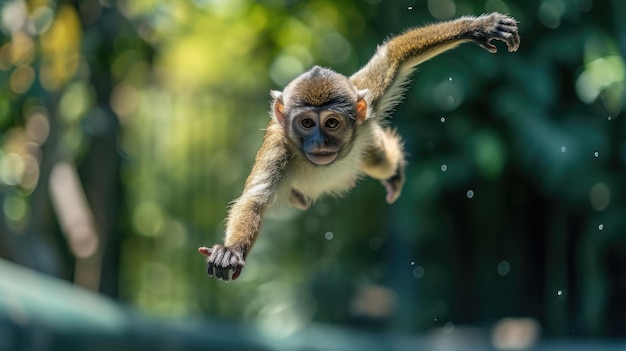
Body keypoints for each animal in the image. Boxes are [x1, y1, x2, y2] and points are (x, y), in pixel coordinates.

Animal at [199, 11, 516, 282]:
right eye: (306, 123)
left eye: (331, 123)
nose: (319, 141)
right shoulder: (279, 146)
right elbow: (255, 199)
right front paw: (231, 251)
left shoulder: (367, 100)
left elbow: (393, 55)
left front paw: (478, 27)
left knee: (380, 162)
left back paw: (394, 168)